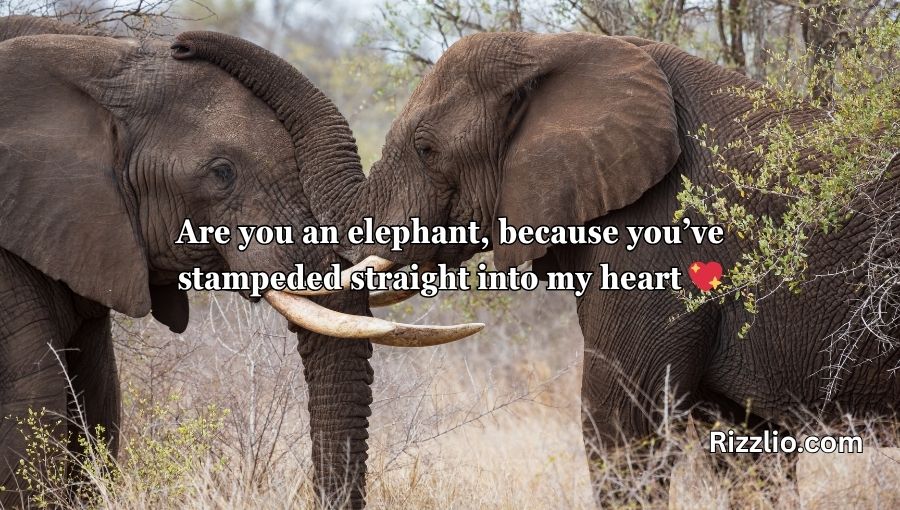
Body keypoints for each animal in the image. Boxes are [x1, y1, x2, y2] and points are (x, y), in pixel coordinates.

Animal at [175, 30, 899, 501]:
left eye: (427, 148)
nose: (180, 46)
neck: (558, 50)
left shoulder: (666, 233)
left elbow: (620, 425)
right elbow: (749, 455)